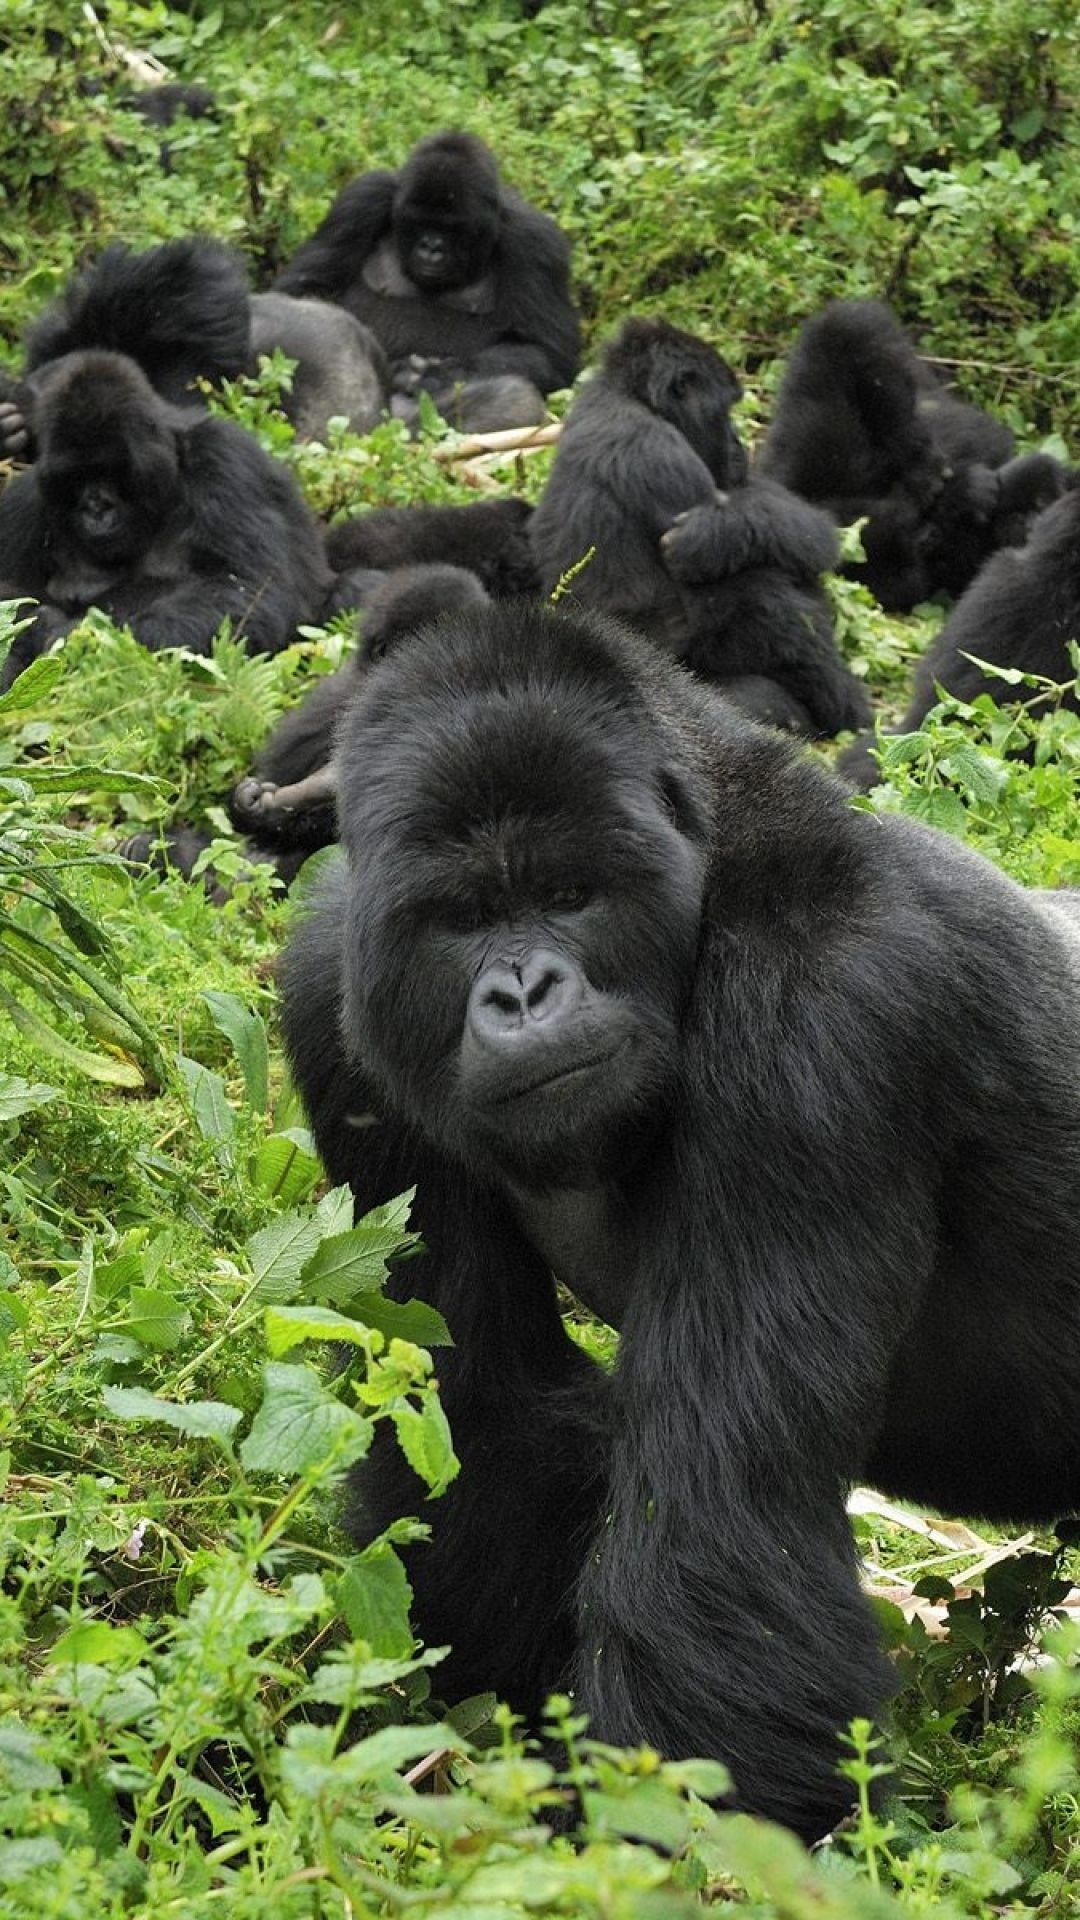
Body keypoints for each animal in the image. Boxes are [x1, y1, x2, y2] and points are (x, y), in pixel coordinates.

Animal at [0, 349, 328, 687]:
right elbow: (12, 595)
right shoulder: (24, 502)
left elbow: (246, 588)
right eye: (77, 477)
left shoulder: (223, 458)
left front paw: (65, 636)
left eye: (111, 472)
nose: (96, 507)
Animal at [276, 132, 580, 435]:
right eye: (419, 222)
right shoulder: (363, 199)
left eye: (453, 228)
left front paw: (433, 375)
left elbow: (548, 355)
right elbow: (304, 291)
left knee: (512, 397)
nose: (431, 247)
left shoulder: (535, 241)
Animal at [282, 599, 1076, 1843]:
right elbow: (484, 1428)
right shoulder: (337, 997)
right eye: (464, 917)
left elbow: (716, 1532)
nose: (524, 993)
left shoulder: (823, 1010)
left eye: (570, 895)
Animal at [530, 314, 864, 733]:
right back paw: (845, 706)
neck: (631, 396)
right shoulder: (656, 450)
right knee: (764, 590)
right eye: (724, 410)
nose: (739, 445)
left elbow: (793, 523)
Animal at [757, 299, 1068, 606]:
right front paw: (963, 496)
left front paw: (919, 458)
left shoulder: (813, 446)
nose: (928, 531)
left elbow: (845, 328)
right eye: (925, 539)